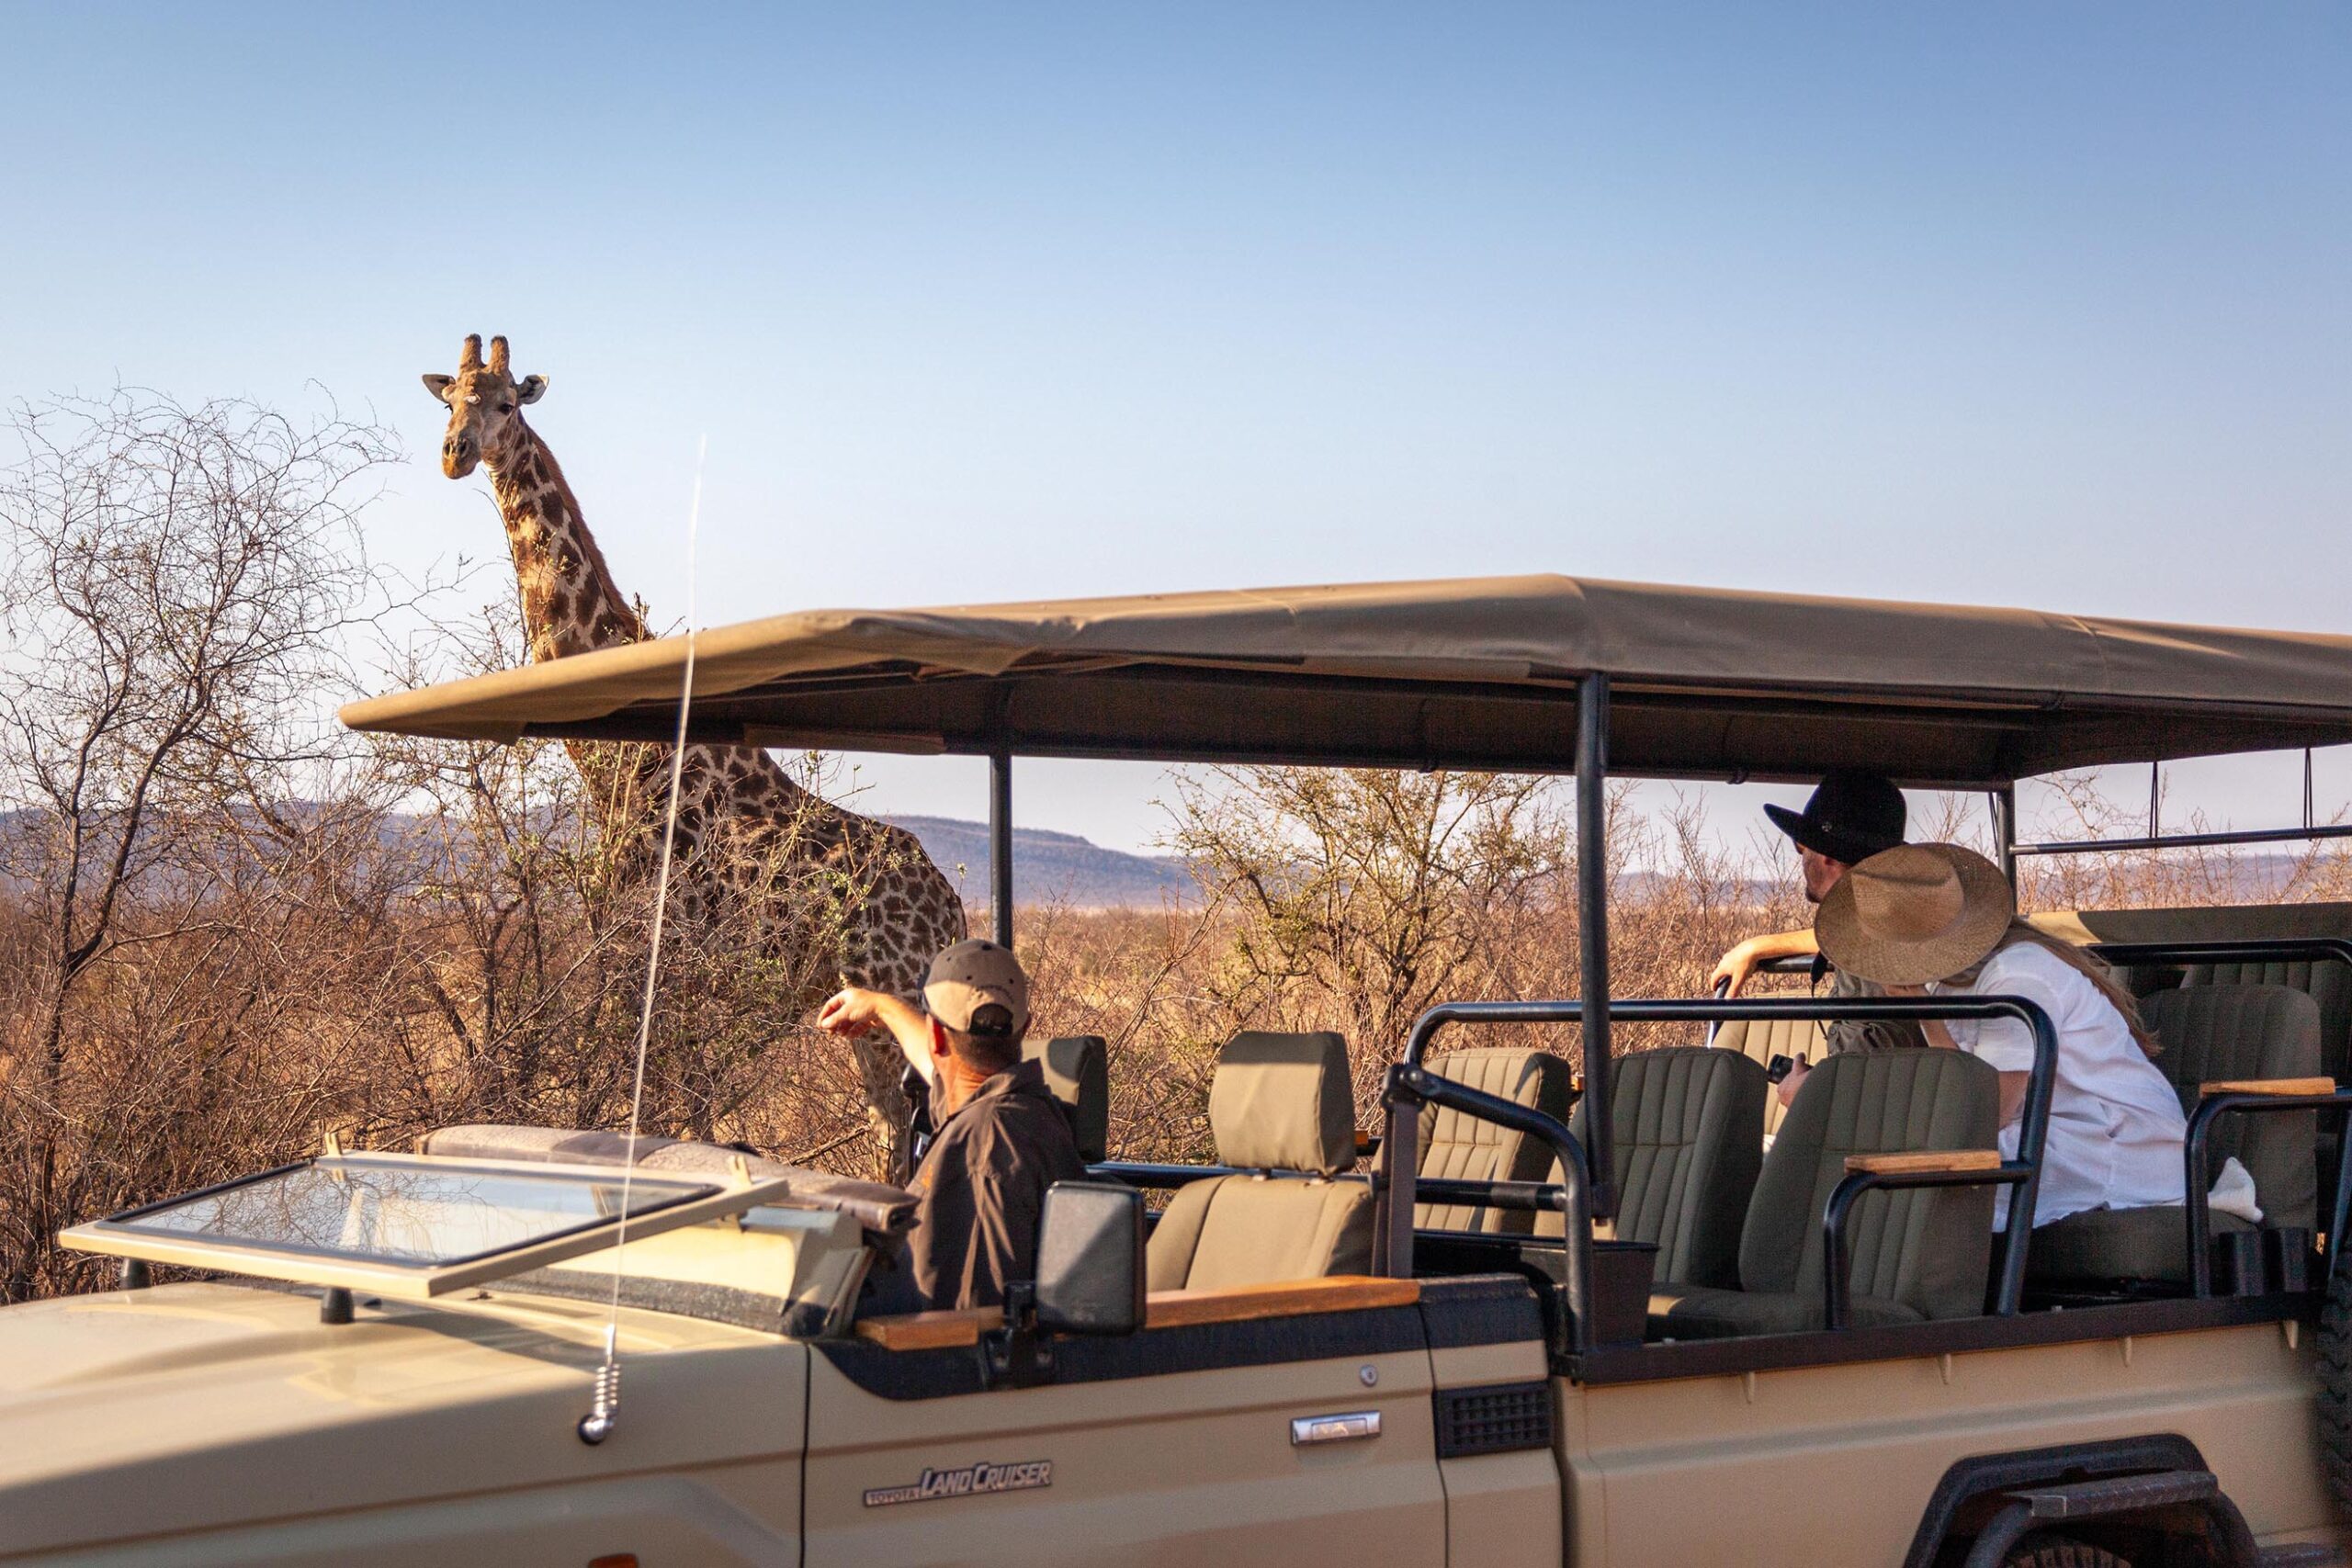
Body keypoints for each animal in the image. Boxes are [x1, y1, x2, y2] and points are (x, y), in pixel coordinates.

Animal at [422, 333, 967, 1183]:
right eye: (449, 401)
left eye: (507, 402)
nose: (455, 454)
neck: (615, 766)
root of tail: (953, 907)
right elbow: (683, 1107)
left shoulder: (656, 952)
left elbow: (656, 1105)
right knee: (891, 1125)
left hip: (890, 995)